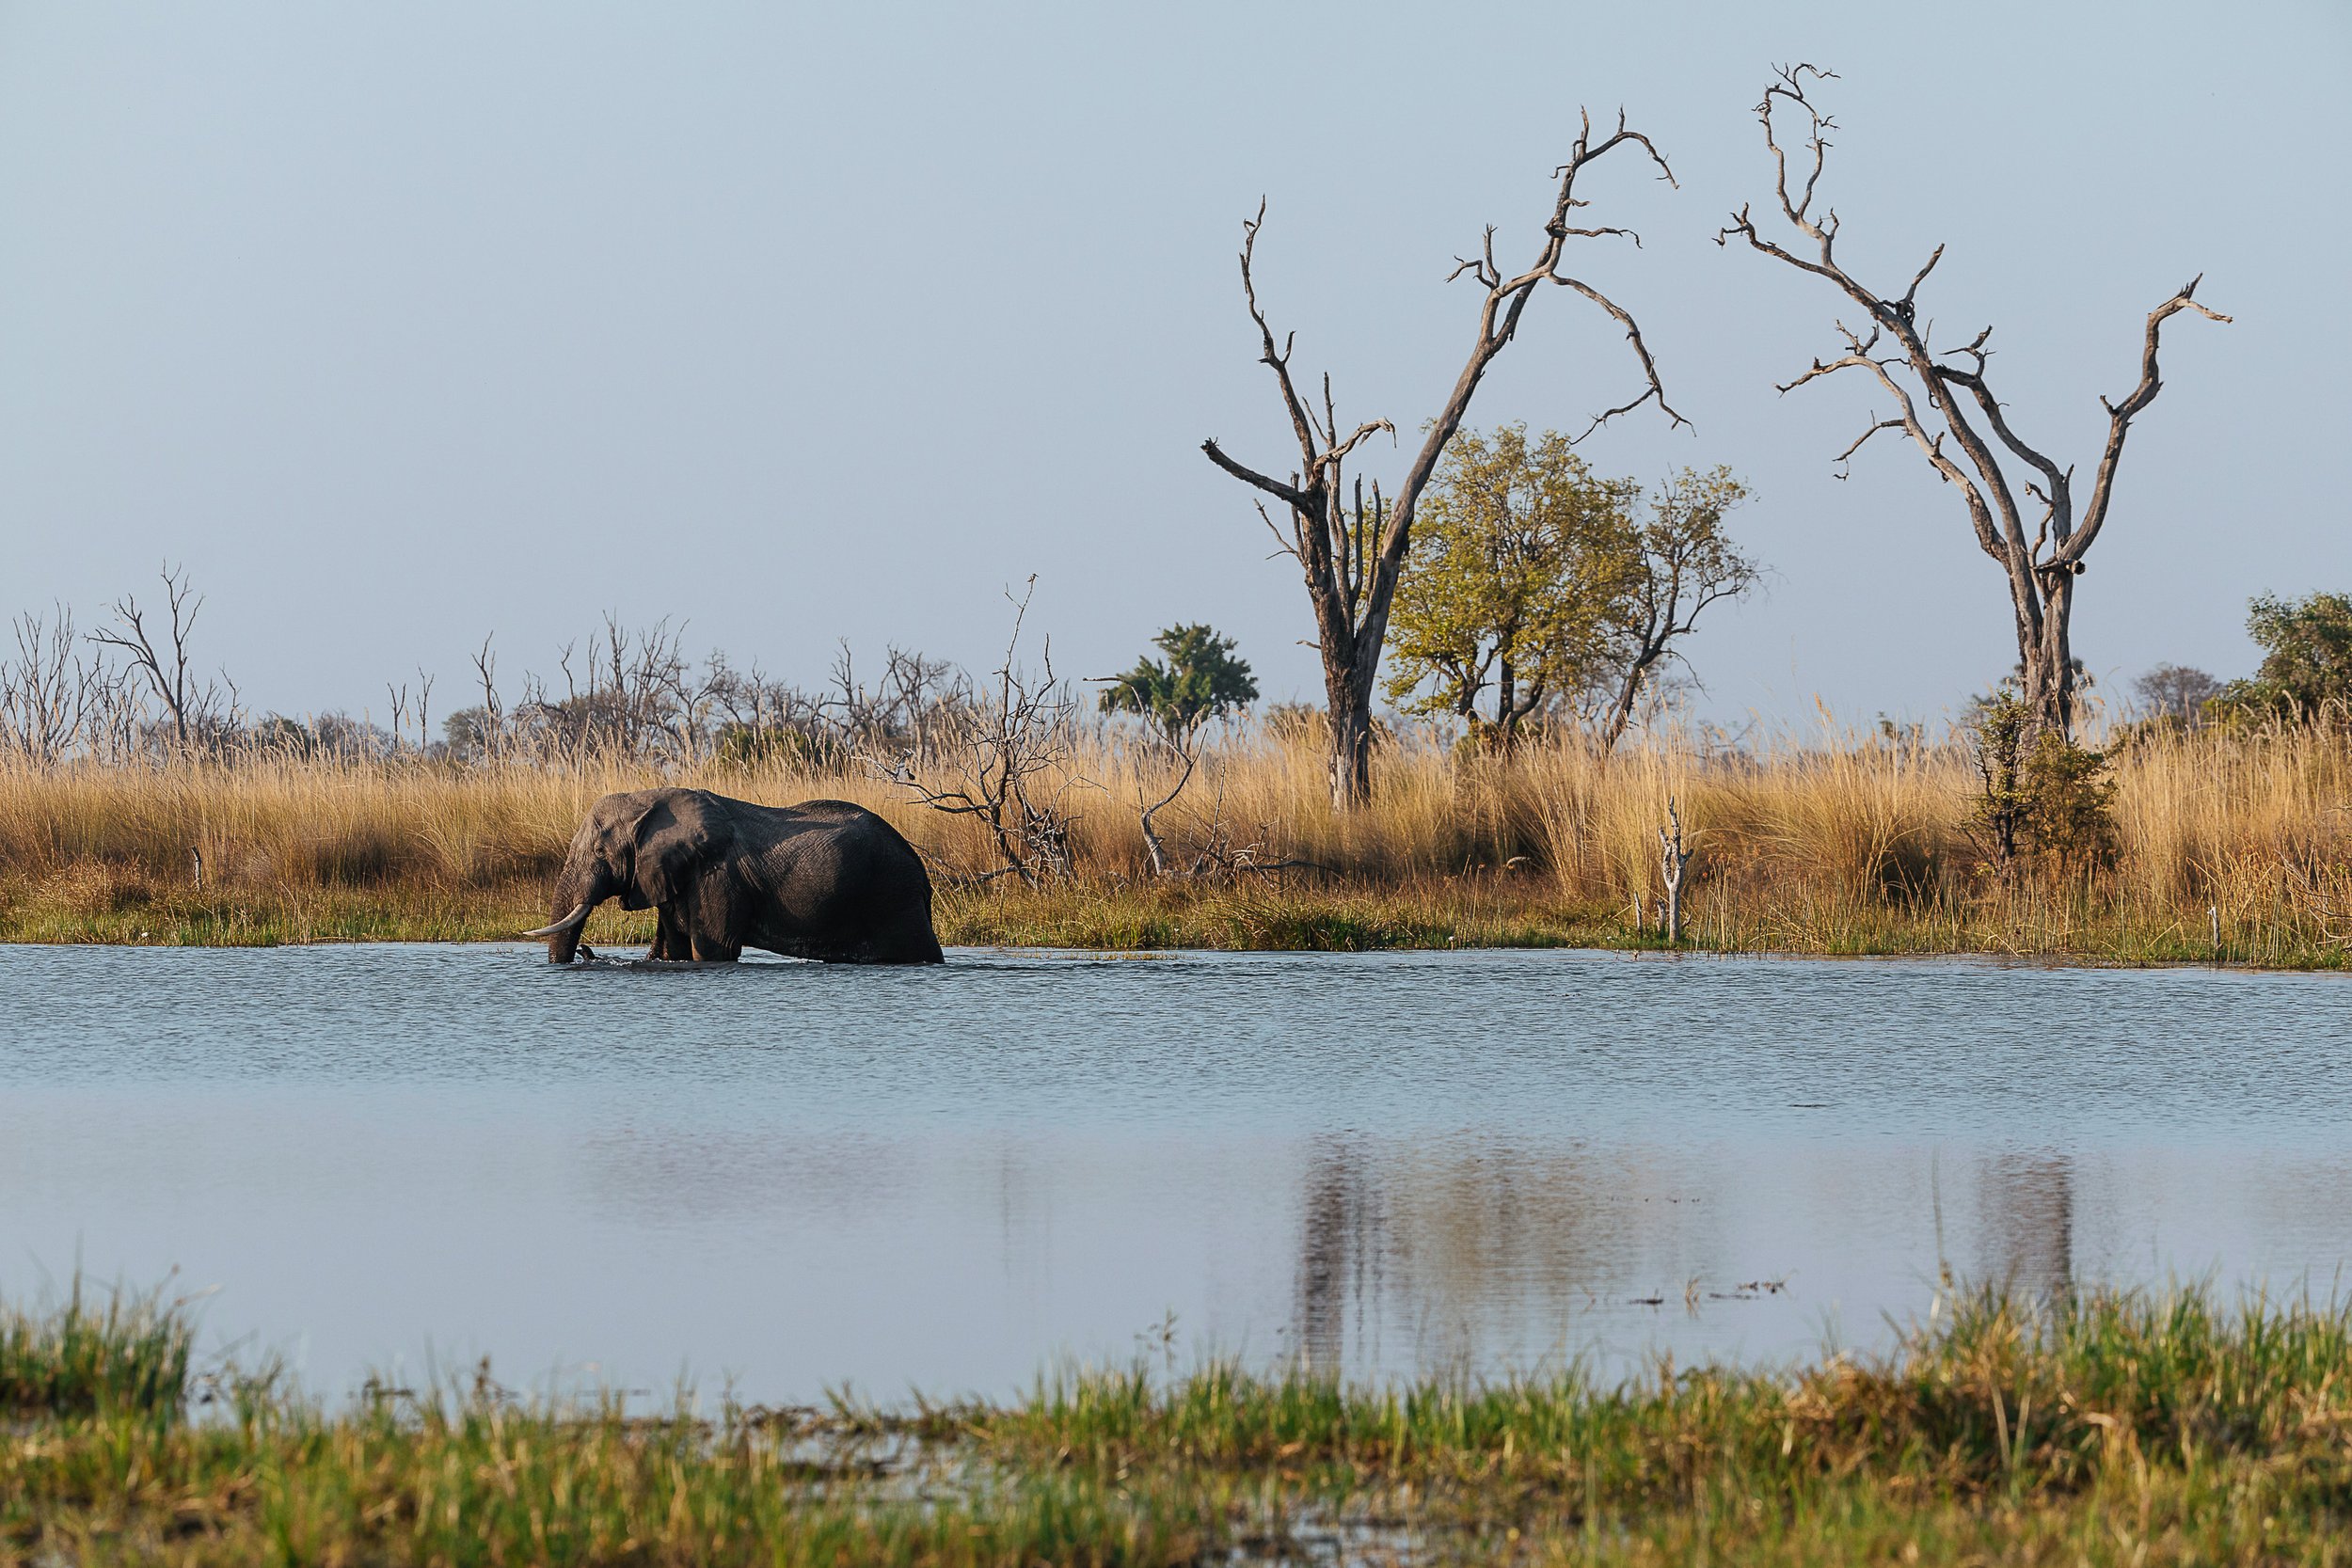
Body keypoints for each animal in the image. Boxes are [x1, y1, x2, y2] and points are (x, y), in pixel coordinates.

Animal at [527, 789, 946, 963]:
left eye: (600, 853)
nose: (585, 951)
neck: (649, 799)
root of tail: (922, 872)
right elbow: (675, 950)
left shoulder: (719, 877)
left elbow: (712, 949)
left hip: (894, 897)